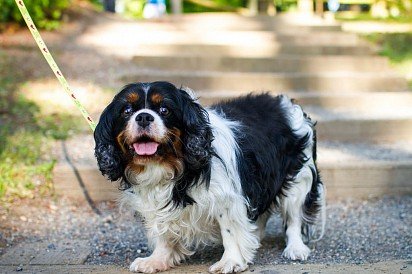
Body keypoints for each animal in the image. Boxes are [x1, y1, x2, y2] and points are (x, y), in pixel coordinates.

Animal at [93, 80, 326, 272]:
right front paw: (157, 259)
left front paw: (231, 261)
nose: (143, 116)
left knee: (294, 216)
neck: (169, 165)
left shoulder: (227, 198)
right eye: (126, 110)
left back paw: (296, 247)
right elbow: (163, 232)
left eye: (164, 109)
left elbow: (230, 230)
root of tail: (286, 103)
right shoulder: (155, 201)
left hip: (299, 177)